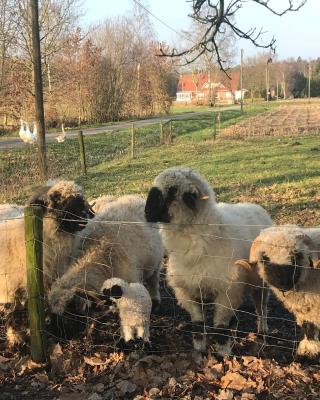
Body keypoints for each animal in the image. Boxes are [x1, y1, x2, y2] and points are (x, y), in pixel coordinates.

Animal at [0, 181, 94, 346]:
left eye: (81, 198)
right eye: (57, 200)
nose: (84, 218)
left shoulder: (51, 279)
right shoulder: (12, 287)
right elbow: (14, 311)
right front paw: (15, 338)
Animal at [145, 167, 272, 354]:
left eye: (172, 191)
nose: (146, 212)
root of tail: (255, 206)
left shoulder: (227, 291)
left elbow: (220, 328)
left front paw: (223, 354)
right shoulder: (187, 290)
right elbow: (198, 325)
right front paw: (200, 350)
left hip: (260, 283)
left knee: (261, 307)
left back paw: (263, 331)